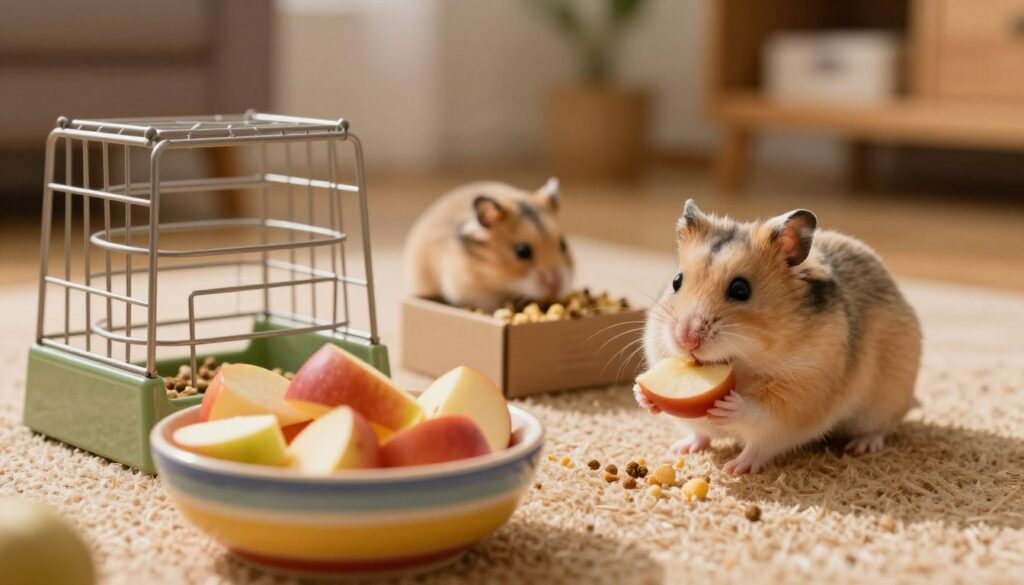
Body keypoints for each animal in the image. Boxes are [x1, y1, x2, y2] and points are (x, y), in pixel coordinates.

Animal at [635, 200, 921, 475]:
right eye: (676, 281)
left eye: (741, 289)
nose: (686, 340)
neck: (745, 364)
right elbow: (699, 426)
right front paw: (641, 394)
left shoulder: (799, 395)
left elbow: (760, 422)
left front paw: (731, 427)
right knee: (699, 436)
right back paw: (682, 448)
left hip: (885, 401)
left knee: (880, 428)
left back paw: (859, 446)